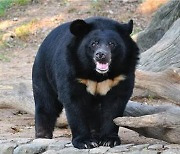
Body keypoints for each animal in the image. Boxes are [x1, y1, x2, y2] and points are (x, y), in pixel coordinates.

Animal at [32, 16, 139, 149]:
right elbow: (74, 102)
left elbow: (114, 105)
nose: (101, 55)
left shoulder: (121, 75)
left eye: (112, 44)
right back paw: (43, 136)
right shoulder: (72, 70)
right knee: (46, 103)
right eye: (93, 43)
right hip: (43, 72)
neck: (97, 74)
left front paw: (109, 140)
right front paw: (85, 142)